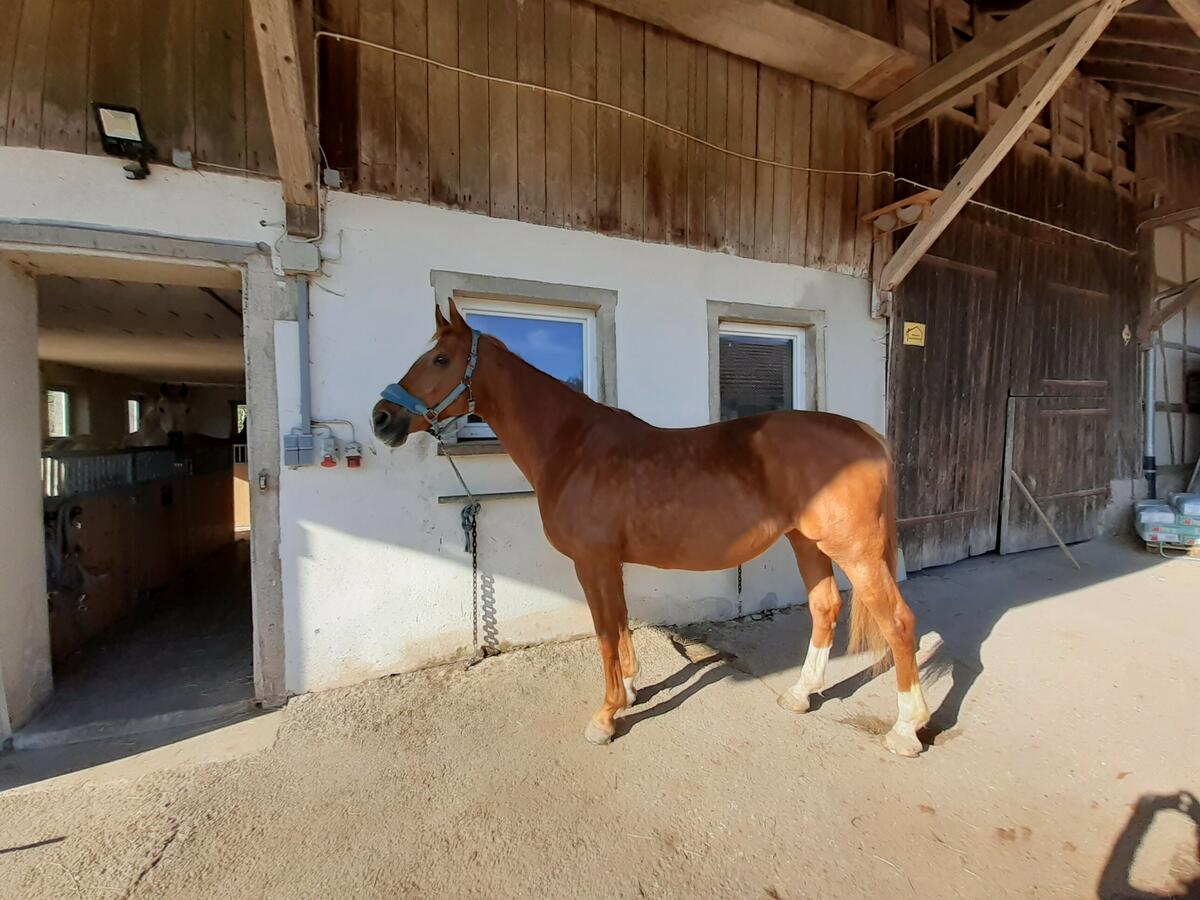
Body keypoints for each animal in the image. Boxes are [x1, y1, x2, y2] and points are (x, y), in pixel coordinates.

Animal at [372, 302, 931, 757]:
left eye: (440, 360)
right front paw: (630, 689)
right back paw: (800, 694)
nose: (382, 418)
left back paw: (907, 730)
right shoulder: (609, 563)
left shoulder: (592, 562)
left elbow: (604, 633)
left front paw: (605, 717)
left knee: (899, 623)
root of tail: (864, 433)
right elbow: (619, 624)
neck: (572, 446)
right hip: (807, 543)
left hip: (854, 551)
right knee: (825, 608)